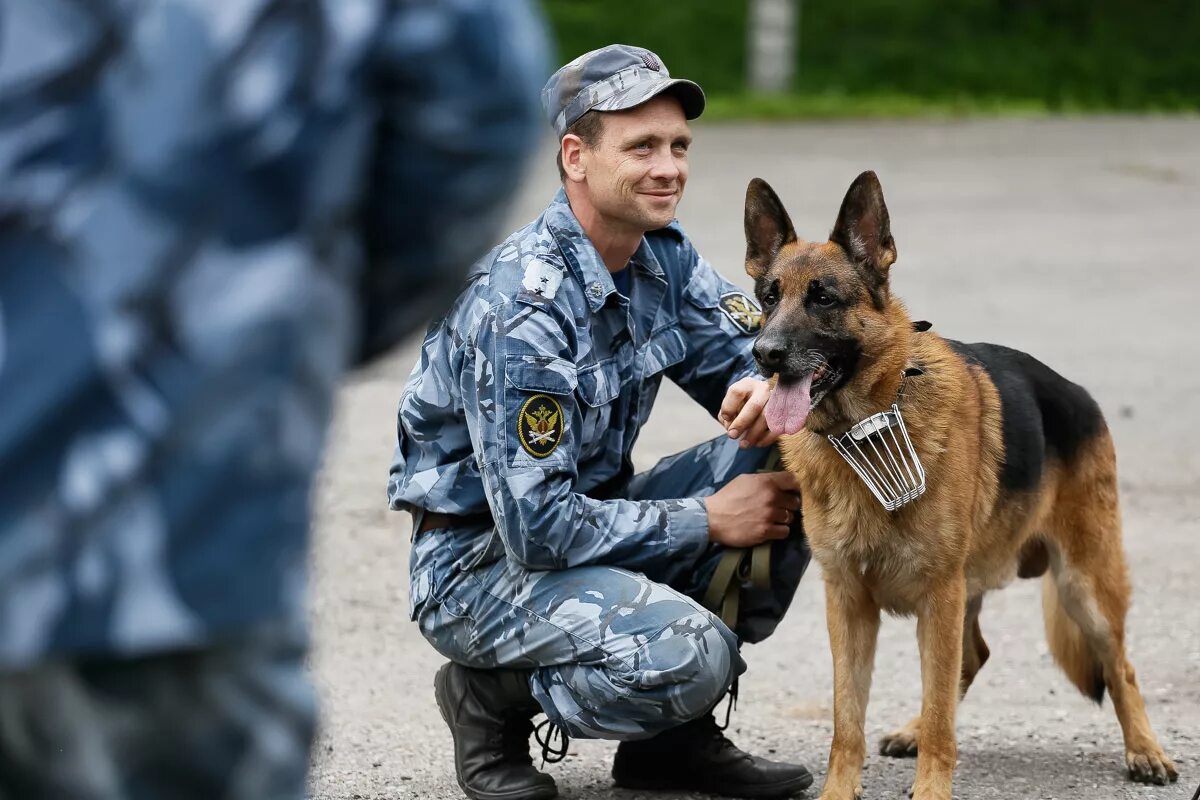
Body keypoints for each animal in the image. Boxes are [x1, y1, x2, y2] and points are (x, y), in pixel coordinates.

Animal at [744, 172, 1176, 796]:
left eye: (824, 298)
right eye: (768, 298)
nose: (765, 354)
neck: (868, 426)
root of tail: (1079, 394)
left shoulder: (938, 595)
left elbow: (942, 714)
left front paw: (931, 787)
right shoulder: (847, 603)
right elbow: (847, 722)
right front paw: (839, 790)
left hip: (1084, 586)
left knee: (1121, 666)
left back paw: (1145, 750)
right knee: (971, 659)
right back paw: (911, 728)